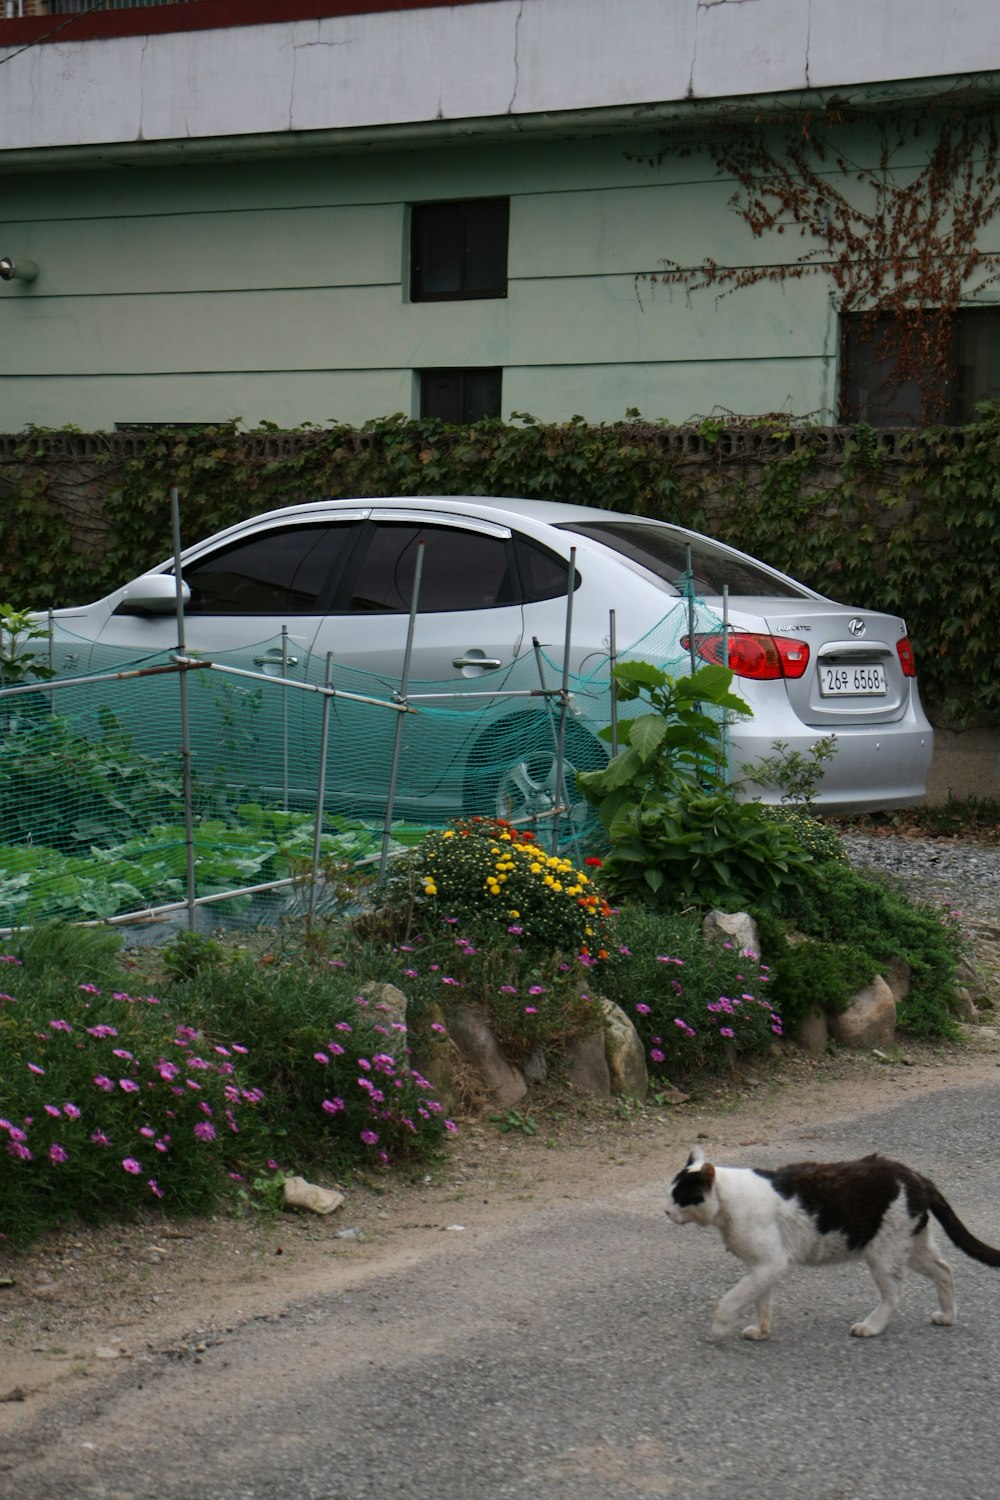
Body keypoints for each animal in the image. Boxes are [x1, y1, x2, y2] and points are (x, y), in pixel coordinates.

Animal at [668, 1140, 1000, 1344]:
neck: (726, 1204)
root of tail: (918, 1177)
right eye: (670, 1195)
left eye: (680, 1198)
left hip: (884, 1253)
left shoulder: (769, 1263)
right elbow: (761, 1302)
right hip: (911, 1246)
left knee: (894, 1295)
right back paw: (948, 1316)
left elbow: (731, 1299)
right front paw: (762, 1331)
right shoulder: (763, 1268)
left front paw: (719, 1328)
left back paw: (871, 1326)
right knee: (945, 1269)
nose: (666, 1211)